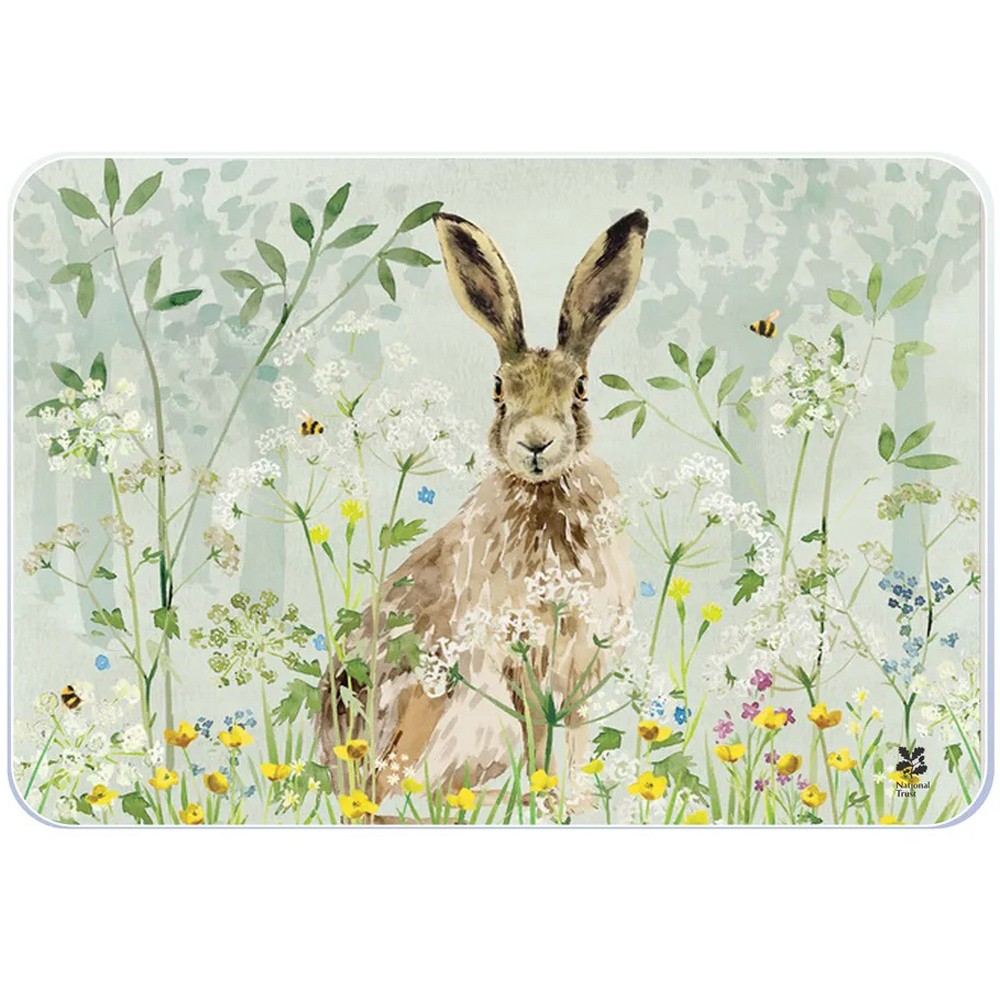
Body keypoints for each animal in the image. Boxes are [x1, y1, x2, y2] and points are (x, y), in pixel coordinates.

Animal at [318, 209, 648, 802]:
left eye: (580, 389)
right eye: (498, 389)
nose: (535, 443)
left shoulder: (579, 666)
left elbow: (574, 736)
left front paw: (578, 801)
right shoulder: (524, 663)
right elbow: (540, 734)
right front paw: (547, 798)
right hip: (426, 704)